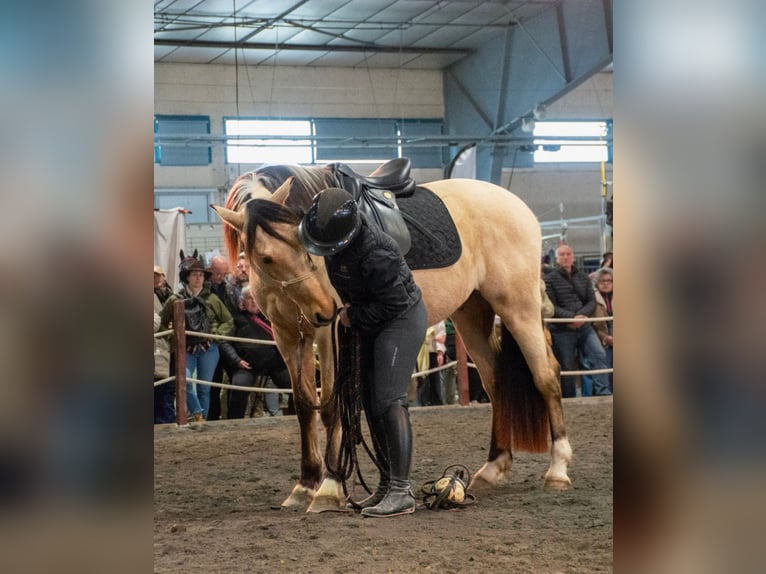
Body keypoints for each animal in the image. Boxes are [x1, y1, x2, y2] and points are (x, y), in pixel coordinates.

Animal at [212, 163, 572, 513]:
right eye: (267, 257)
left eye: (304, 244)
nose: (325, 309)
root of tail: (518, 207)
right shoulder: (287, 336)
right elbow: (303, 406)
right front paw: (304, 485)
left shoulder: (327, 336)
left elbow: (330, 407)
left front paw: (328, 487)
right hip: (471, 313)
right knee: (496, 383)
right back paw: (493, 467)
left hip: (518, 307)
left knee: (546, 376)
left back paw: (557, 469)